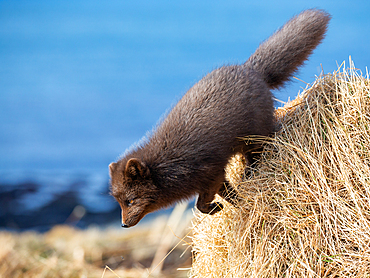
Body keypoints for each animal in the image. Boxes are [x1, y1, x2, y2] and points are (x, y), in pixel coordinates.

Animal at [108, 9, 330, 228]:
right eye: (119, 202)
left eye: (130, 200)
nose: (123, 224)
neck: (167, 166)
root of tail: (251, 69)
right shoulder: (216, 177)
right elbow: (227, 193)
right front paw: (237, 203)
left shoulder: (210, 172)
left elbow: (200, 204)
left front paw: (216, 207)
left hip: (254, 134)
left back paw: (250, 170)